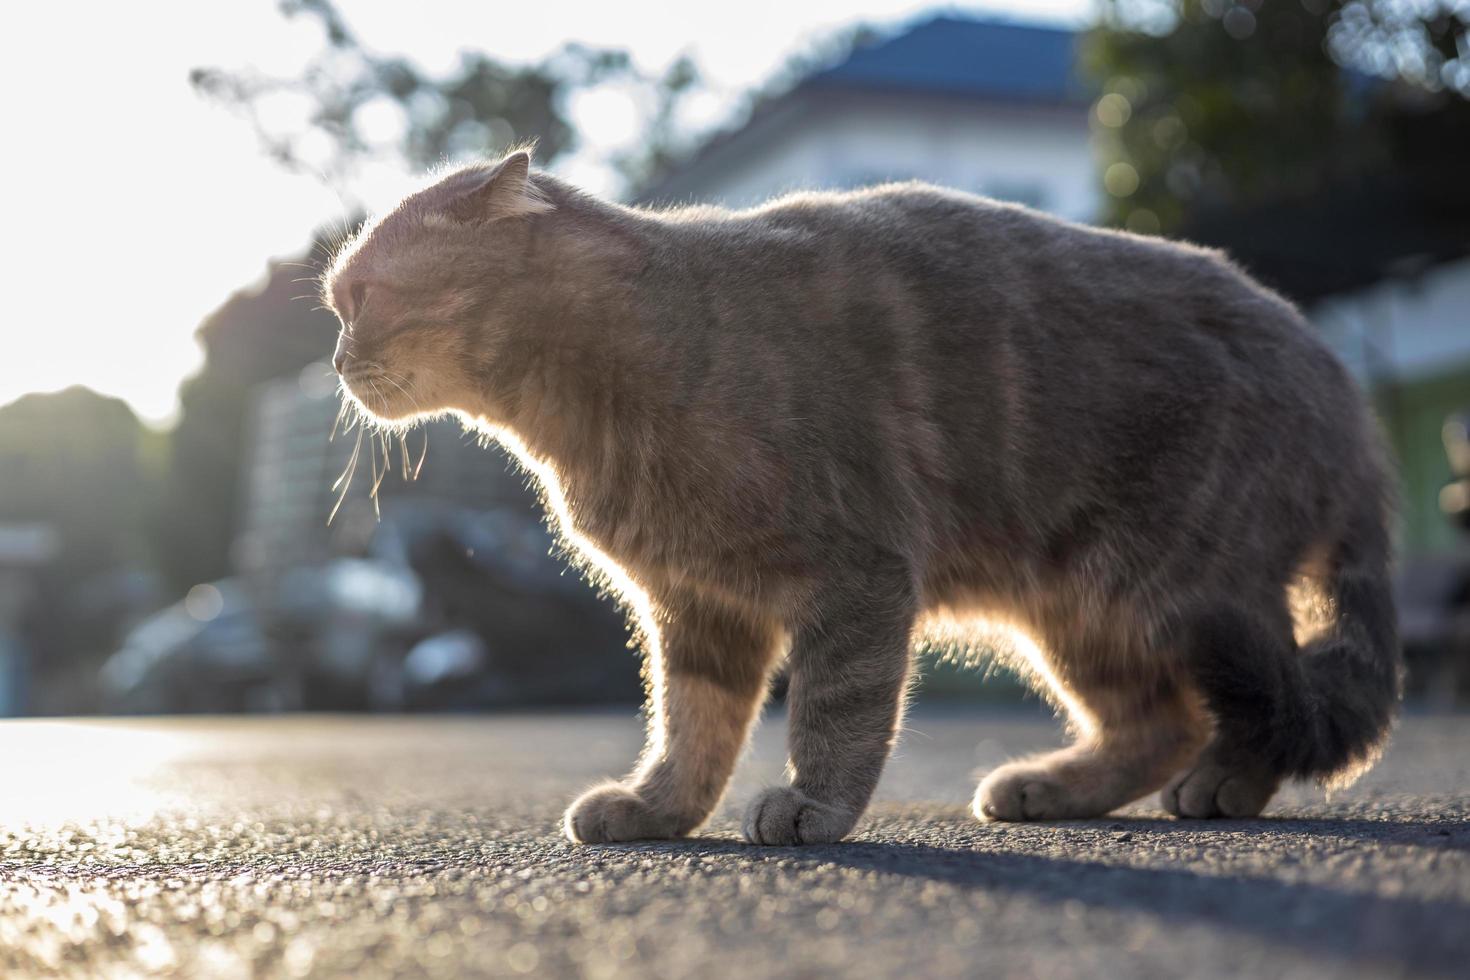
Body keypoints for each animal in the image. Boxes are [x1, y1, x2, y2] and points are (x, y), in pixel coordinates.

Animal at [324, 151, 1399, 846]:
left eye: (360, 296)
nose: (332, 359)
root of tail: (1345, 392)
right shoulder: (695, 609)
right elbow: (691, 726)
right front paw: (659, 810)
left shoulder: (855, 576)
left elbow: (835, 712)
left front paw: (812, 808)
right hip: (1078, 611)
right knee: (1157, 720)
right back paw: (1055, 787)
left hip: (1185, 593)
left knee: (1276, 702)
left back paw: (1226, 782)